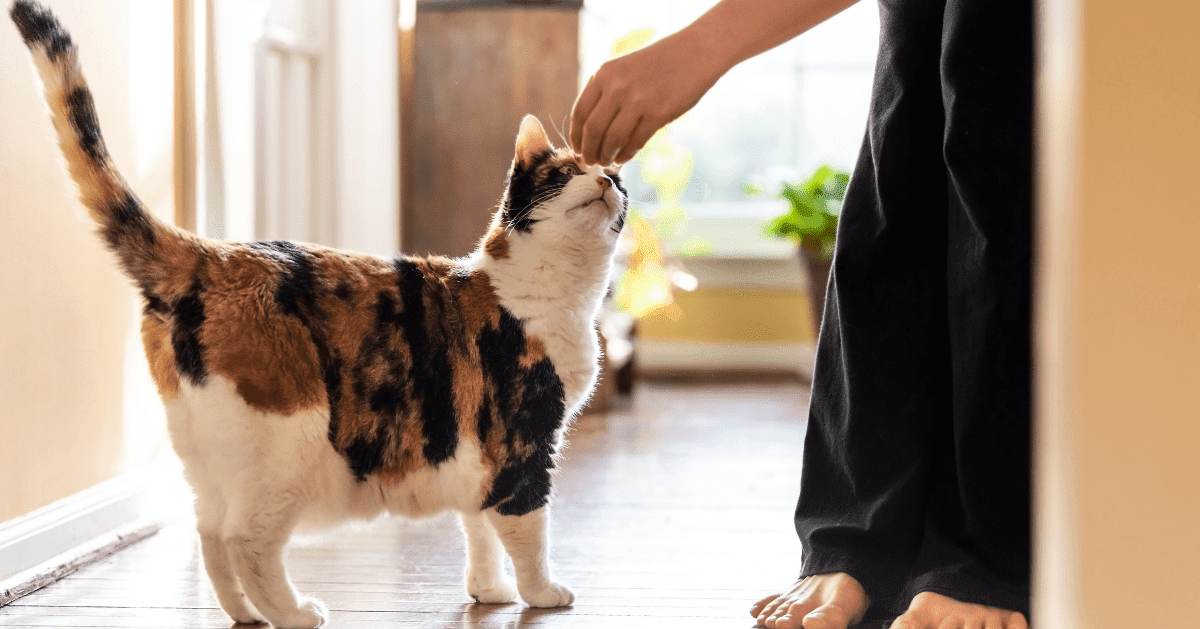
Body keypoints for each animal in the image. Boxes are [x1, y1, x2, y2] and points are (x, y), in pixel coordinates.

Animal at [11, 2, 628, 624]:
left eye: (618, 180)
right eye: (565, 173)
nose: (607, 179)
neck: (556, 290)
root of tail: (212, 255)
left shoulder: (479, 454)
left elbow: (478, 526)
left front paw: (488, 589)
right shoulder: (524, 441)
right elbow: (527, 529)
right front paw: (542, 594)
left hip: (209, 456)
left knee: (209, 534)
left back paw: (246, 612)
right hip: (287, 440)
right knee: (245, 538)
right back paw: (295, 612)